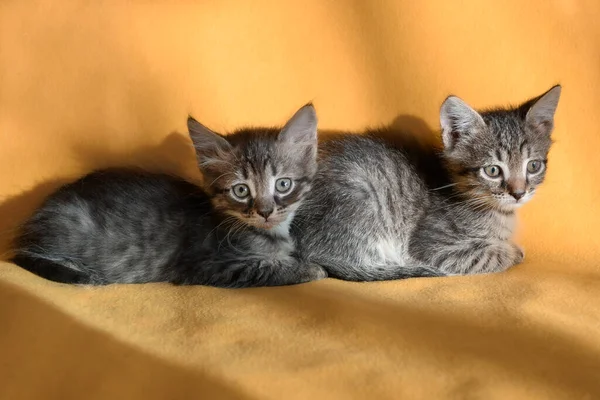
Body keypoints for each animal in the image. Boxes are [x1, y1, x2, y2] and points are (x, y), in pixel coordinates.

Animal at [11, 104, 326, 288]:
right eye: (241, 190)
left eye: (283, 184)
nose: (265, 211)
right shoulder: (209, 266)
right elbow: (271, 268)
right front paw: (312, 269)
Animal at [292, 86, 560, 280]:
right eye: (492, 170)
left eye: (533, 166)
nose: (519, 193)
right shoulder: (432, 247)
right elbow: (489, 255)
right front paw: (514, 251)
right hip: (361, 198)